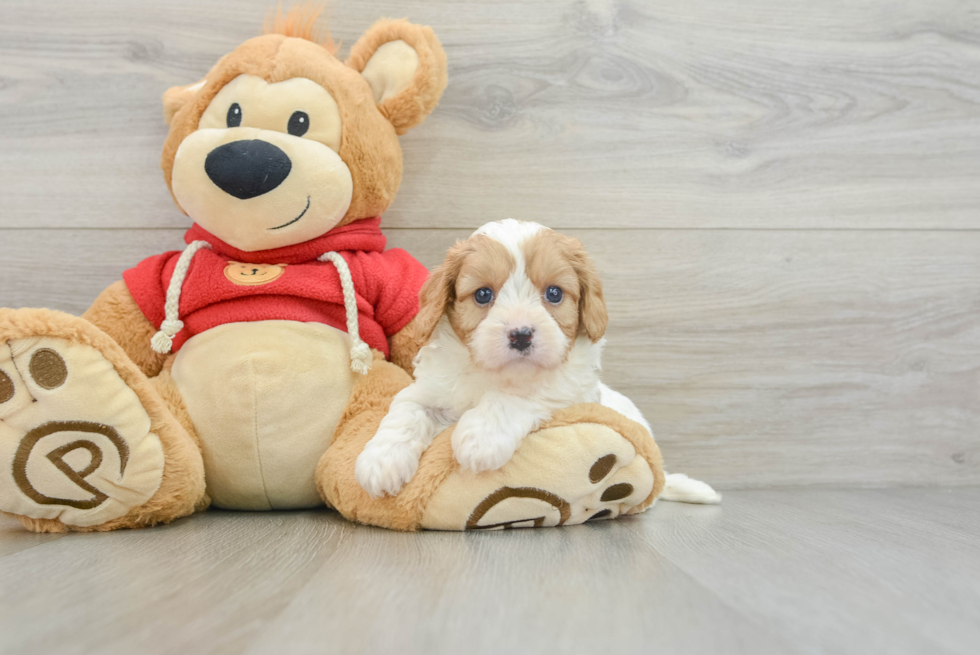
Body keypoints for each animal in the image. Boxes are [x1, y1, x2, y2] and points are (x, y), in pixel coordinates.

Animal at [352, 219, 660, 498]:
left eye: (554, 293)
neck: (493, 371)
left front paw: (481, 437)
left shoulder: (570, 391)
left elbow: (515, 396)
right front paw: (382, 462)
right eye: (483, 294)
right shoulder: (428, 389)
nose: (521, 335)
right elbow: (407, 410)